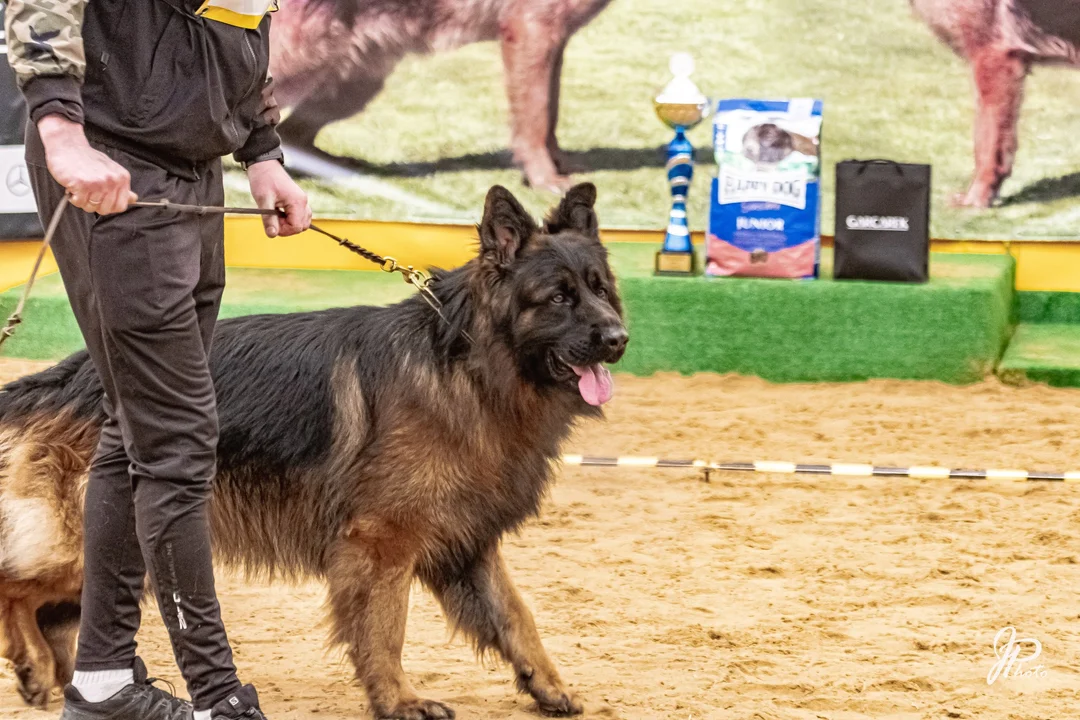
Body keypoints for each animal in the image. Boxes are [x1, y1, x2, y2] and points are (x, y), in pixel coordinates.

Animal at [0, 183, 626, 716]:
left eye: (600, 290)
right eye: (559, 298)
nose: (620, 338)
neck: (467, 365)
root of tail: (65, 376)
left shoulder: (467, 540)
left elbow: (517, 617)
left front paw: (548, 685)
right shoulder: (381, 543)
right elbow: (385, 630)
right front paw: (398, 700)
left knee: (59, 615)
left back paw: (63, 682)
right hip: (88, 544)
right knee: (15, 588)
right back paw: (34, 667)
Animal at [270, 0, 617, 193]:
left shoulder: (554, 44)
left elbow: (550, 112)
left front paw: (558, 165)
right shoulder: (533, 33)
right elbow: (536, 118)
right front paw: (544, 177)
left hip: (356, 91)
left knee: (291, 136)